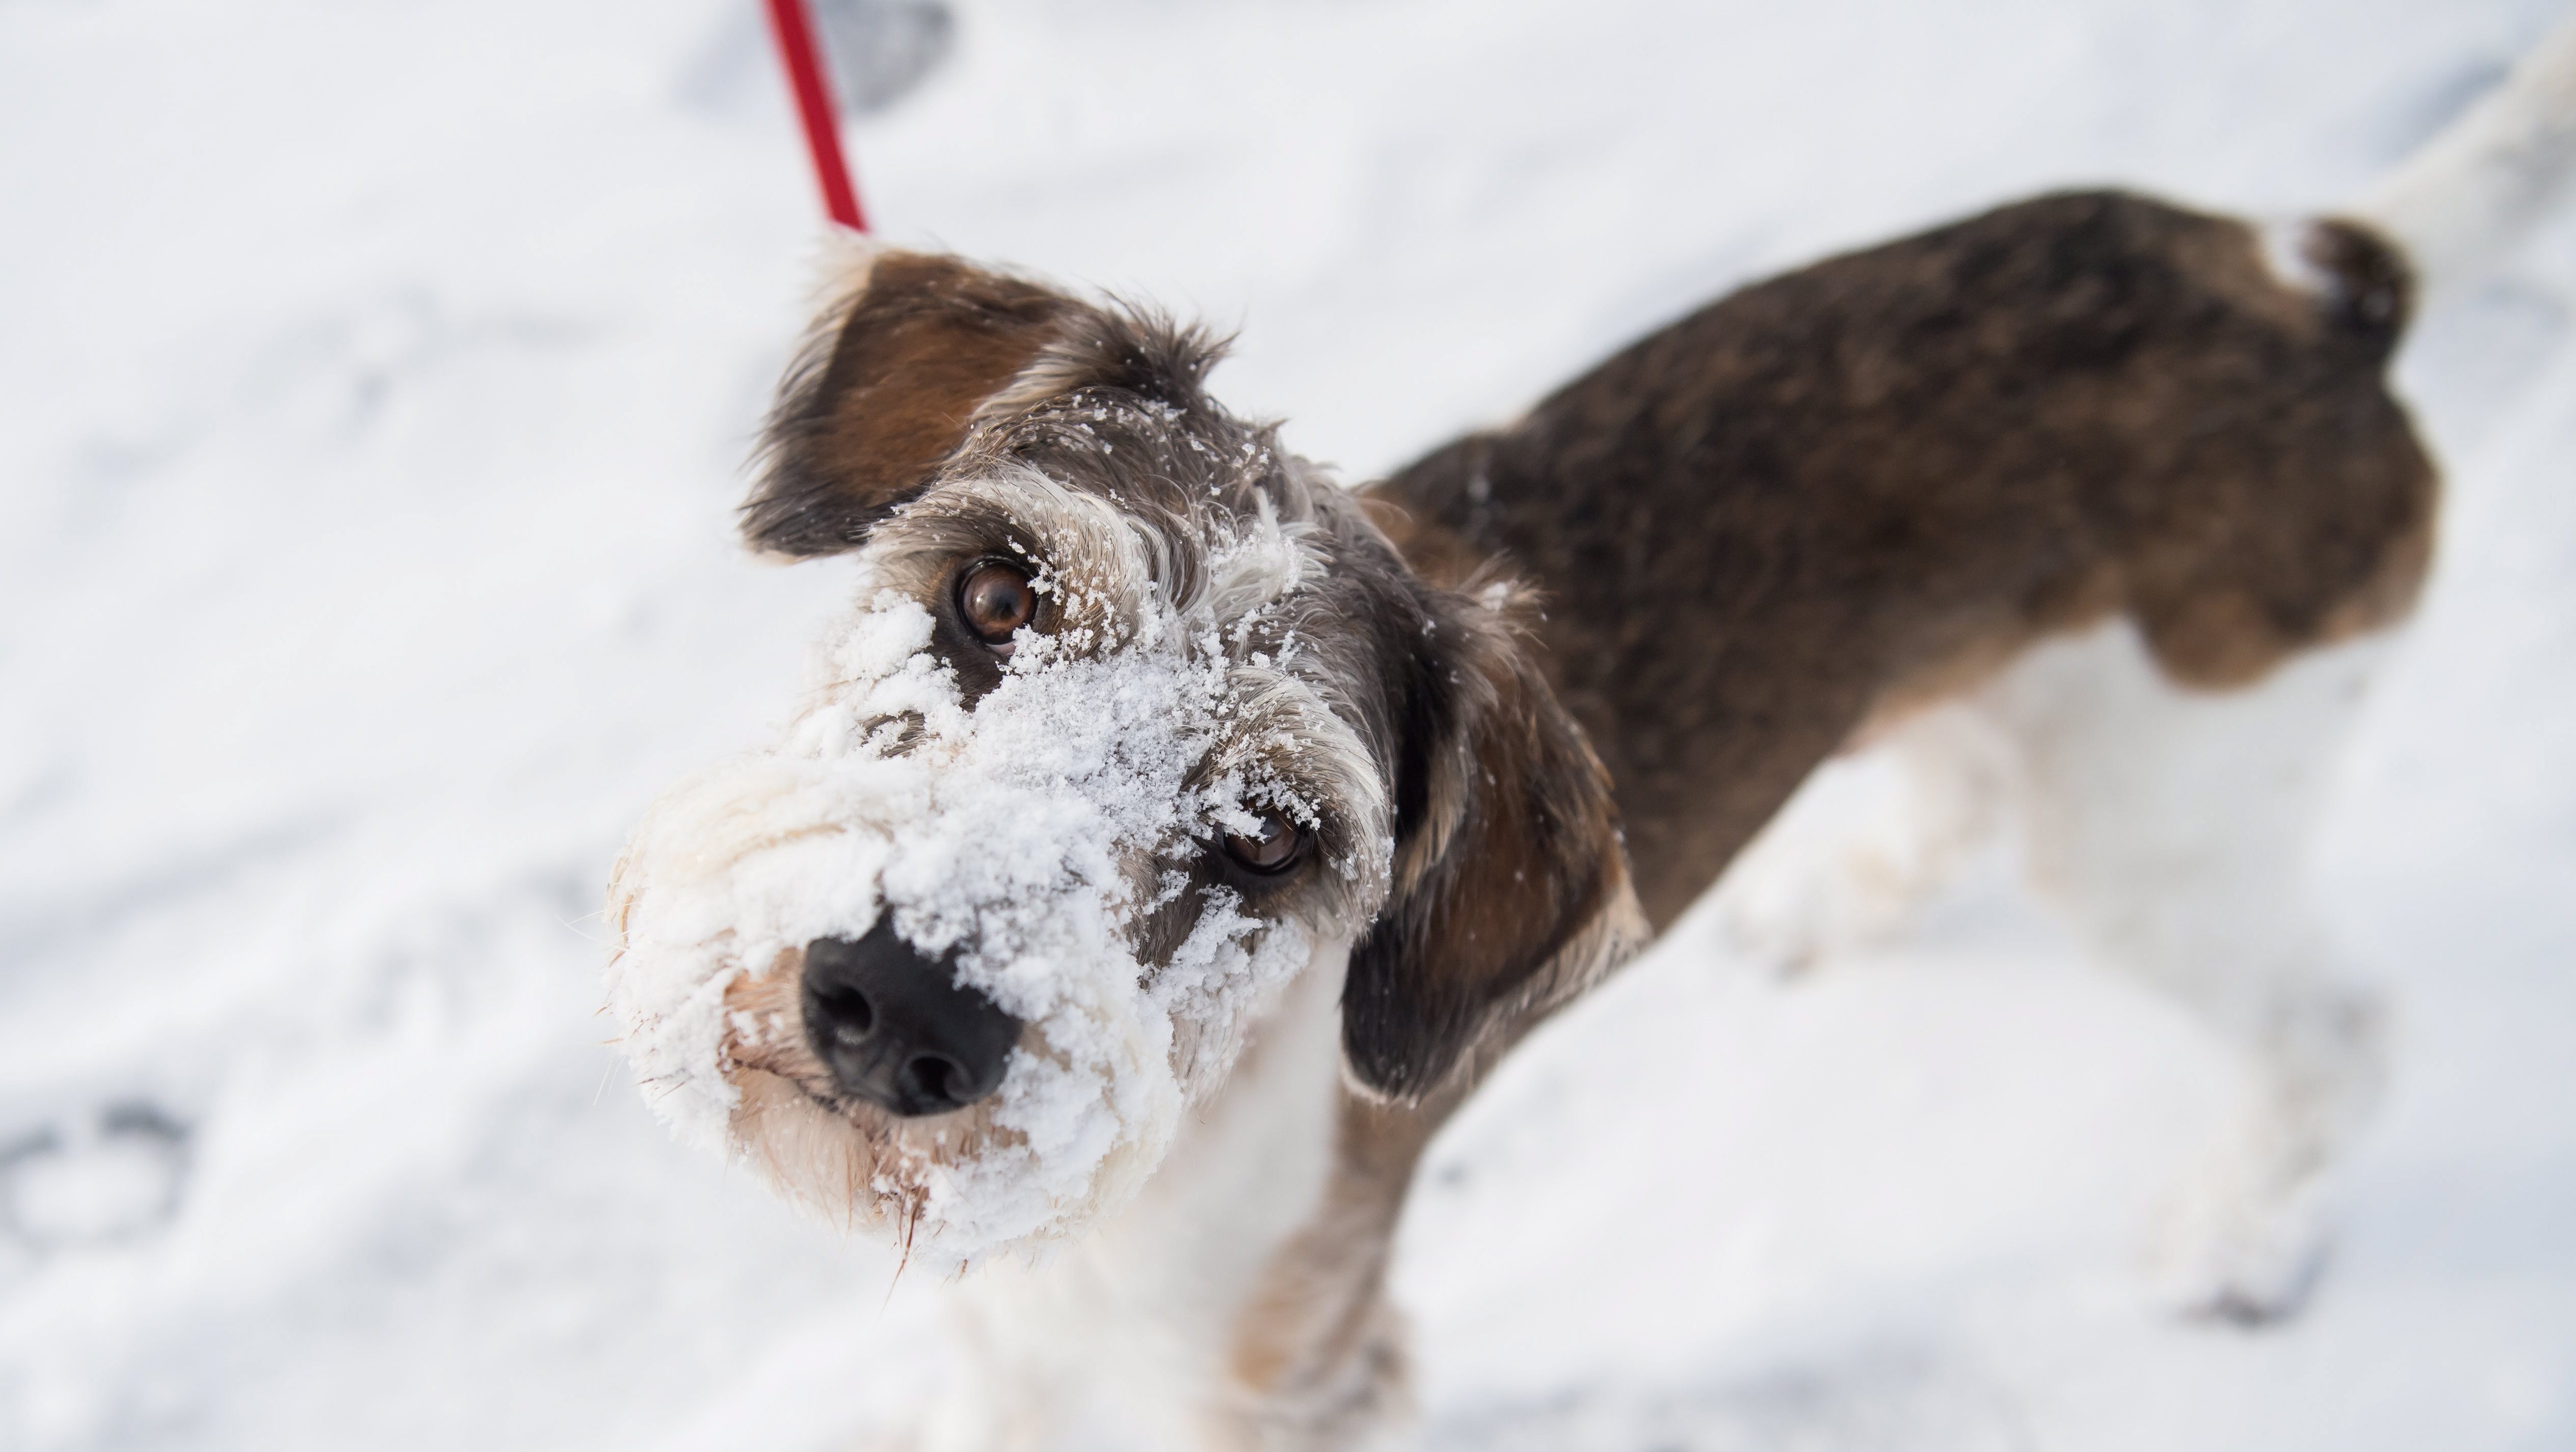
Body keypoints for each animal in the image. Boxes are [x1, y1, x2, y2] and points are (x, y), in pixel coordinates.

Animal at [607, 25, 2576, 1452]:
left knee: (2340, 1028)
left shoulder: (1279, 1368)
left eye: (1270, 835)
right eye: (996, 595)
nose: (899, 1004)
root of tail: (2325, 290)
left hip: (2159, 821)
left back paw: (2240, 1238)